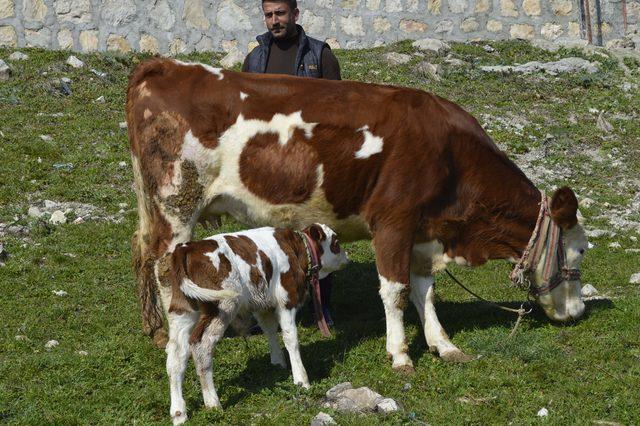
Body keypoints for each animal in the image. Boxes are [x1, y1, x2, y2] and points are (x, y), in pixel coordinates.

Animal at [126, 58, 592, 372]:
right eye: (583, 249)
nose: (578, 313)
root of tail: (165, 65)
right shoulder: (393, 222)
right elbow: (396, 291)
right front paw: (401, 353)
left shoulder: (424, 230)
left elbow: (424, 291)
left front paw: (443, 344)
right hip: (176, 202)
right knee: (163, 265)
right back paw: (171, 333)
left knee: (145, 256)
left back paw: (158, 330)